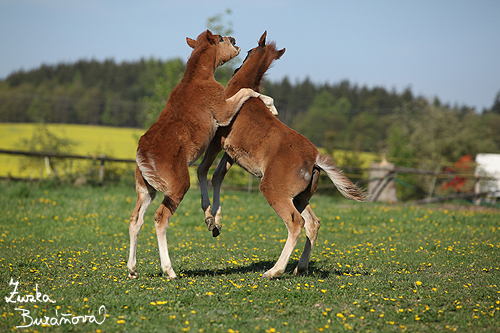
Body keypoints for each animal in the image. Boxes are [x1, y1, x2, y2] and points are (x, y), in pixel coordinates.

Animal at [127, 30, 278, 280]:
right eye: (222, 39)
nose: (235, 40)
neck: (197, 79)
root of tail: (143, 154)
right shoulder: (223, 111)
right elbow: (246, 92)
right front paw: (271, 105)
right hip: (177, 187)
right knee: (160, 218)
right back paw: (169, 270)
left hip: (146, 189)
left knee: (135, 220)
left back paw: (132, 270)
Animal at [198, 32, 368, 278]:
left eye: (249, 51)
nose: (236, 65)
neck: (241, 88)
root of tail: (314, 159)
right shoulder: (232, 153)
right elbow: (217, 176)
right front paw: (216, 224)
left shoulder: (218, 140)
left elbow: (204, 170)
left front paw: (210, 219)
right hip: (299, 197)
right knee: (313, 223)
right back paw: (300, 267)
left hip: (274, 191)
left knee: (296, 223)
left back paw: (274, 270)